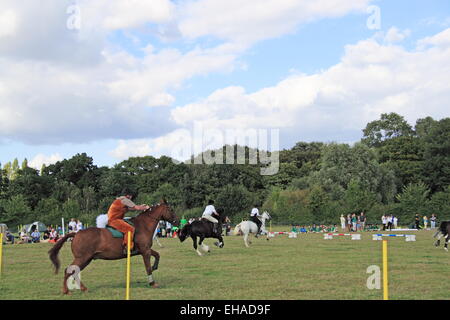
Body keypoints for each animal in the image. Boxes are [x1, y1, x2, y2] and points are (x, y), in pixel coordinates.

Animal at [47, 200, 178, 296]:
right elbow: (148, 267)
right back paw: (66, 291)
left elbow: (157, 255)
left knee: (74, 272)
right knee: (68, 271)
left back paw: (83, 289)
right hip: (82, 258)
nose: (176, 221)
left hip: (86, 259)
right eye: (171, 209)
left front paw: (155, 266)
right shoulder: (145, 251)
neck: (143, 225)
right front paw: (152, 283)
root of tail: (76, 233)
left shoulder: (144, 250)